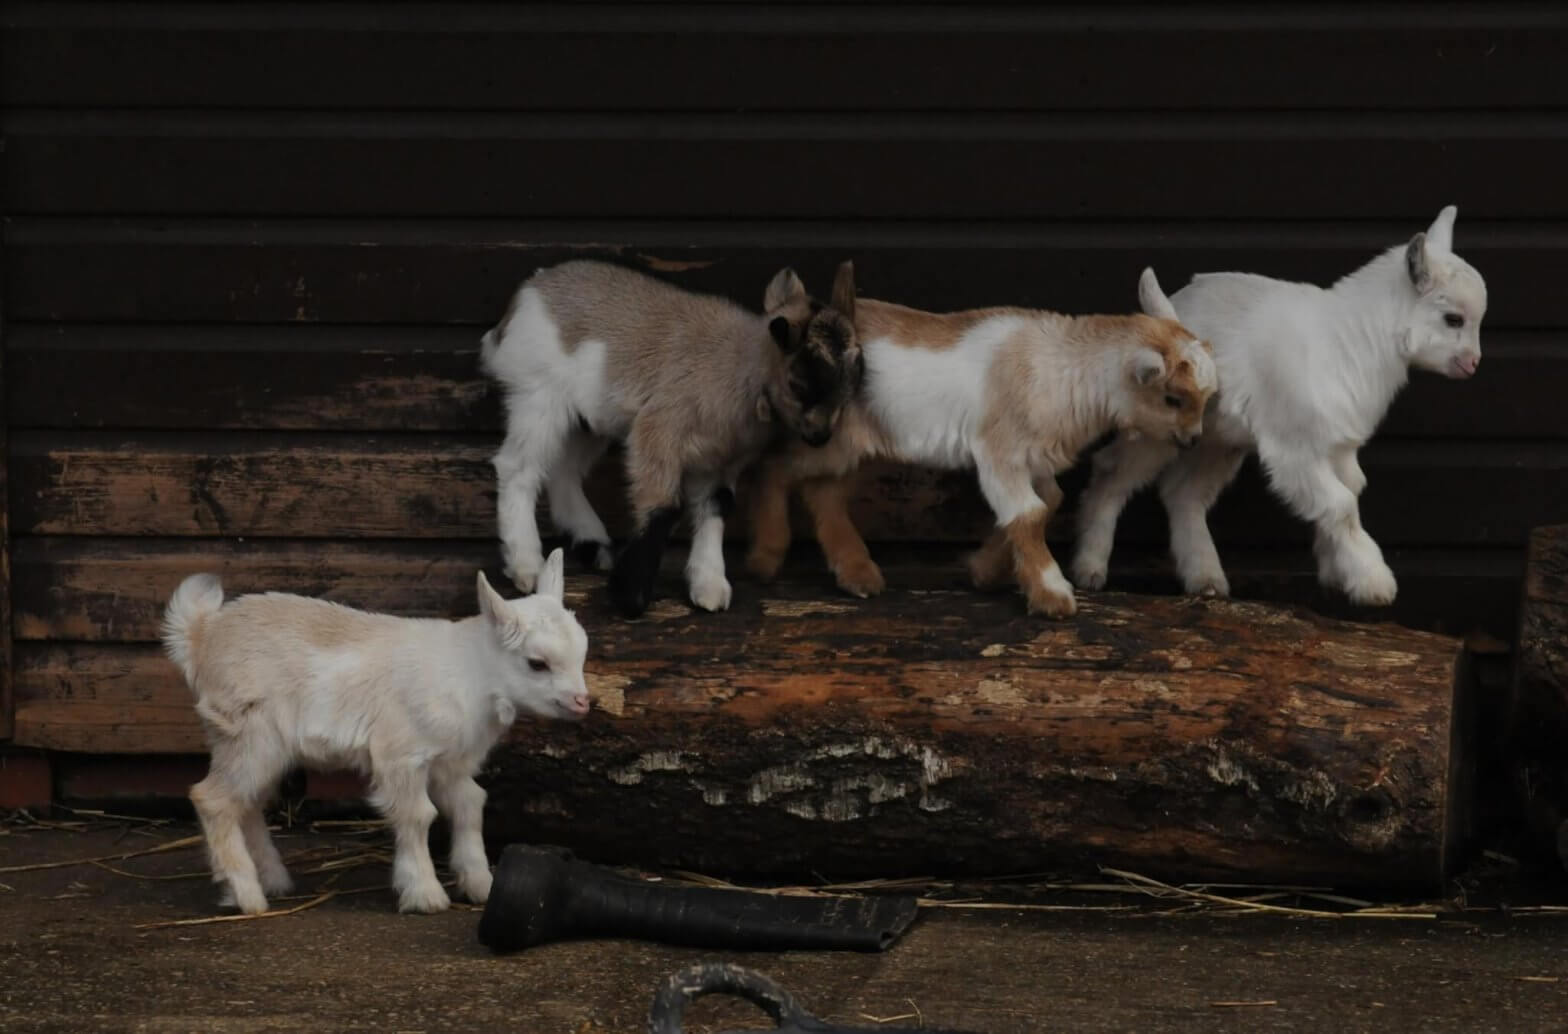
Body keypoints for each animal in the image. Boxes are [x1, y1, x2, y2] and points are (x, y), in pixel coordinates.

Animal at [482, 257, 865, 618]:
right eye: (800, 384)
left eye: (853, 376)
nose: (821, 436)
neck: (740, 367)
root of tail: (526, 296)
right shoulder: (659, 431)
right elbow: (664, 507)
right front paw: (631, 599)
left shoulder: (721, 461)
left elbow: (717, 505)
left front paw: (710, 586)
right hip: (537, 396)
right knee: (518, 468)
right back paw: (527, 567)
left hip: (587, 419)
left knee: (563, 472)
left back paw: (592, 544)